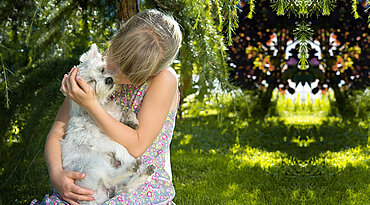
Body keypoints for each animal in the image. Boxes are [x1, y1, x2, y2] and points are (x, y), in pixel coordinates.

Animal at [61, 44, 154, 204]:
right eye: (91, 81)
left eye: (102, 70)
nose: (109, 80)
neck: (102, 107)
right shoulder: (98, 140)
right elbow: (118, 145)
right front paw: (127, 156)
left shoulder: (115, 118)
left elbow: (128, 112)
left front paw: (132, 121)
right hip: (92, 165)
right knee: (110, 178)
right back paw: (132, 165)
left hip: (113, 183)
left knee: (125, 187)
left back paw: (144, 173)